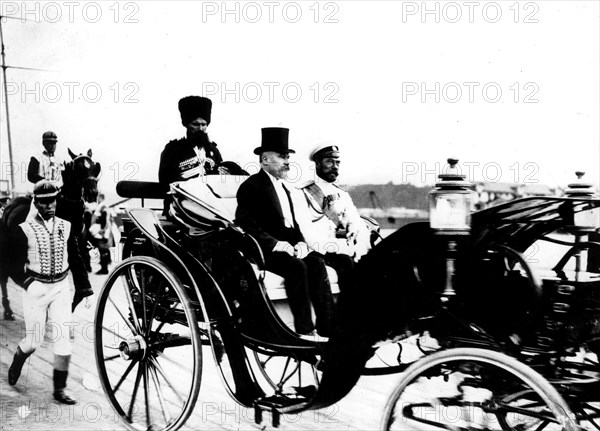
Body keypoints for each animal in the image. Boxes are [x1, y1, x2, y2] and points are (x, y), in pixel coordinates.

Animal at [0, 148, 101, 320]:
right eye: (79, 168)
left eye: (94, 166)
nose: (92, 193)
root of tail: (10, 205)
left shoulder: (77, 249)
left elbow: (79, 285)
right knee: (4, 276)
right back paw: (8, 310)